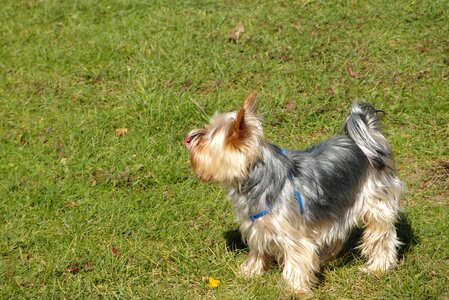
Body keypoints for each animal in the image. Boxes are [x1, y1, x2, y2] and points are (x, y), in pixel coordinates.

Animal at [184, 92, 400, 296]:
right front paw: (250, 272)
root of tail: (365, 138)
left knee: (381, 235)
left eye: (206, 139)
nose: (189, 137)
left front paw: (295, 289)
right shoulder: (257, 226)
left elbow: (297, 259)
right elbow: (257, 249)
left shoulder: (294, 235)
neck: (258, 176)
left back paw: (378, 267)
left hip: (376, 201)